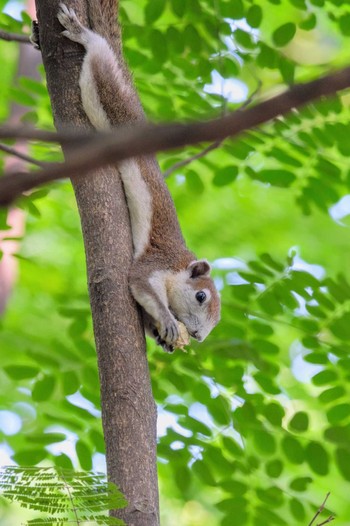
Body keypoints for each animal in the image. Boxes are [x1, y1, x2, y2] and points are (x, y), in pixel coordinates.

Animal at [57, 3, 221, 354]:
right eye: (201, 296)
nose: (198, 336)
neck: (178, 265)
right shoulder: (154, 264)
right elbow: (140, 284)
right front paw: (168, 320)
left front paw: (160, 334)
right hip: (113, 103)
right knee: (100, 61)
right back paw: (83, 34)